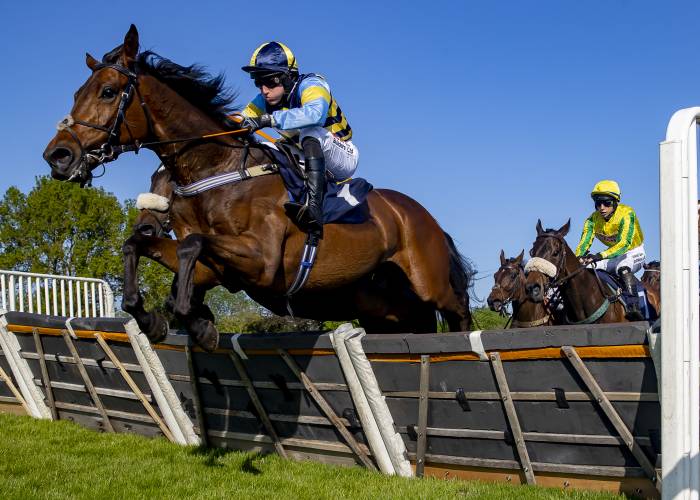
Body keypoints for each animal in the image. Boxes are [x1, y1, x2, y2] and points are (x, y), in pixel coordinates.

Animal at [43, 24, 476, 352]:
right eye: (77, 93)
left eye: (108, 92)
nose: (58, 155)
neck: (217, 171)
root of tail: (424, 217)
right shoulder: (213, 269)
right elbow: (139, 247)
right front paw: (157, 317)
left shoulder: (263, 261)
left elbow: (190, 244)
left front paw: (192, 320)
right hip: (385, 307)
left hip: (431, 284)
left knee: (459, 312)